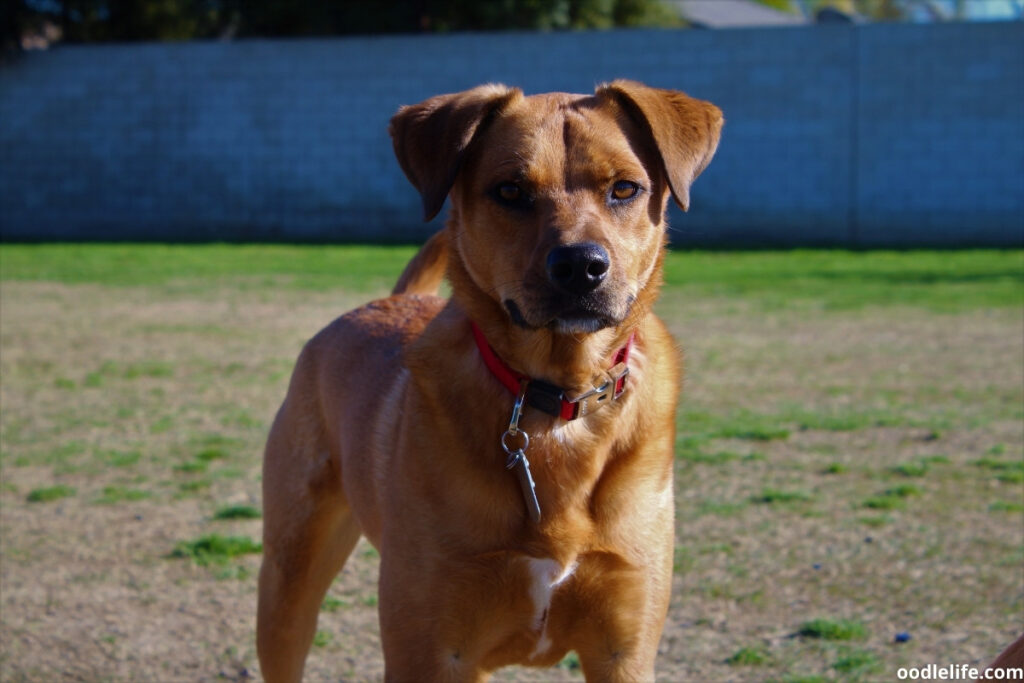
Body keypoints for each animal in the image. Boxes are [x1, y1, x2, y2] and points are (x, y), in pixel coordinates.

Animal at [256, 82, 720, 679]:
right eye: (510, 190)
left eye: (624, 188)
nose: (580, 266)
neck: (554, 396)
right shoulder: (431, 651)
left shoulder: (625, 649)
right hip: (289, 582)